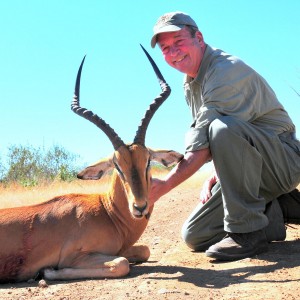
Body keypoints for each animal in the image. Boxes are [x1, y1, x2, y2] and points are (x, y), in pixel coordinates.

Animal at [0, 45, 183, 282]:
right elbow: (121, 263)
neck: (107, 213)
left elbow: (145, 250)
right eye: (117, 166)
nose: (140, 207)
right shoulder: (75, 256)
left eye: (148, 161)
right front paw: (47, 271)